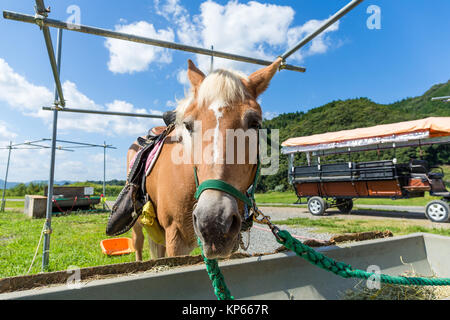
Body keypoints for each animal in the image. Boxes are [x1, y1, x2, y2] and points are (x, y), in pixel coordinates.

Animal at [127, 57, 282, 260]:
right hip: (138, 224)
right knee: (138, 243)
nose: (214, 222)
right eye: (188, 125)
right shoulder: (175, 238)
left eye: (255, 123)